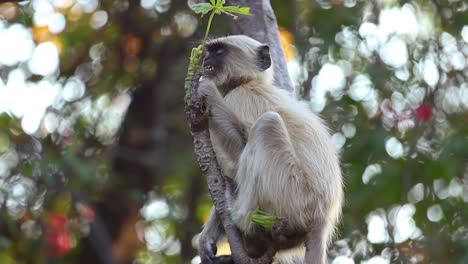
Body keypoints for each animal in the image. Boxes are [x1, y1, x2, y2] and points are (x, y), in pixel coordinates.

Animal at [195, 35, 344, 264]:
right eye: (210, 51)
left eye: (219, 51)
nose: (206, 58)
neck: (247, 82)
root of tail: (322, 220)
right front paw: (206, 239)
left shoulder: (241, 97)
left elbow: (239, 155)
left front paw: (207, 89)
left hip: (292, 194)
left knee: (268, 124)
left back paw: (240, 217)